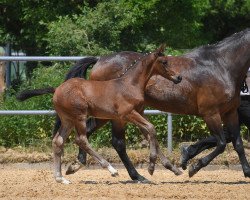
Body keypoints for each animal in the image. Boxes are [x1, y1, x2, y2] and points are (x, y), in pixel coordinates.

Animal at [63, 28, 250, 180]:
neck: (221, 66)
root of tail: (99, 60)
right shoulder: (210, 113)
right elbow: (221, 143)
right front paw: (193, 167)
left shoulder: (231, 113)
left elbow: (237, 143)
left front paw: (247, 172)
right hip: (116, 115)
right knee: (118, 142)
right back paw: (137, 175)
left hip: (112, 113)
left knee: (89, 132)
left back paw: (77, 165)